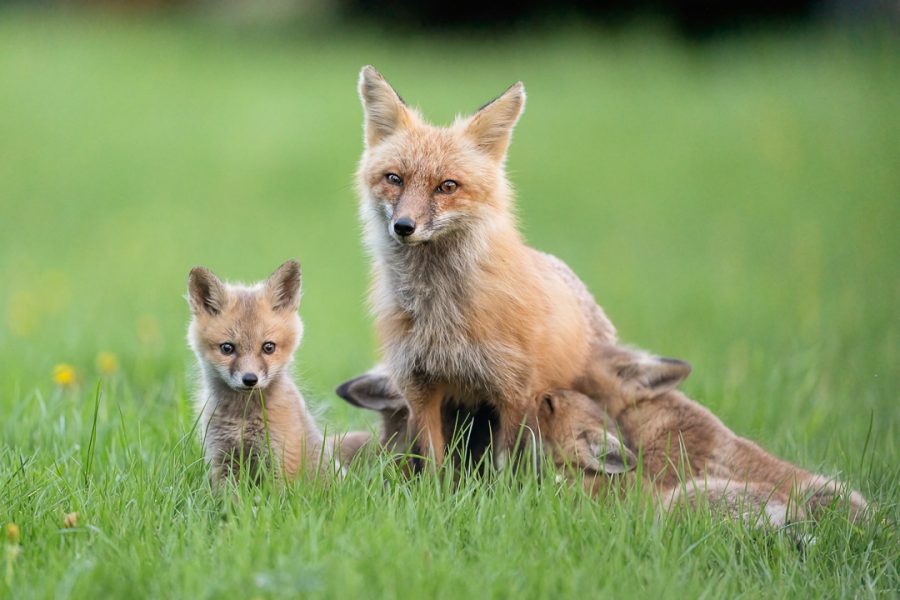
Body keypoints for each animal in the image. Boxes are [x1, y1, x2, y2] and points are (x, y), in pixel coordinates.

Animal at [187, 260, 327, 485]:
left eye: (268, 347)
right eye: (227, 348)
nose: (250, 379)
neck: (242, 419)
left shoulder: (282, 461)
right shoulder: (222, 459)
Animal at [356, 66, 617, 467]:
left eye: (447, 186)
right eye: (394, 179)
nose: (403, 227)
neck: (440, 312)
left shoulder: (515, 392)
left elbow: (503, 466)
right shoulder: (420, 389)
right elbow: (435, 465)